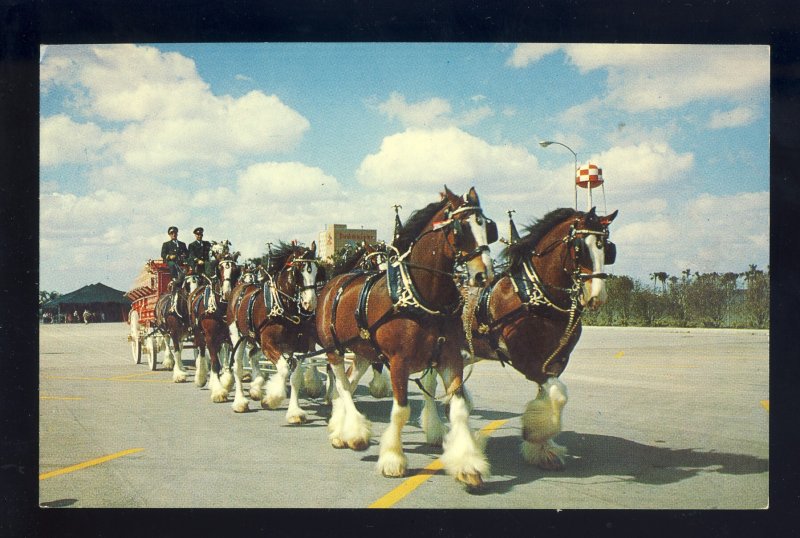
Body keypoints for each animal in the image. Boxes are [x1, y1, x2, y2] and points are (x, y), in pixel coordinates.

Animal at [189, 251, 242, 394]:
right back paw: (201, 378)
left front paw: (226, 381)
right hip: (198, 333)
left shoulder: (230, 337)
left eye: (235, 270)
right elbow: (215, 362)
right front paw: (218, 391)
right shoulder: (210, 336)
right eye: (220, 268)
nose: (227, 293)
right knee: (202, 351)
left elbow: (229, 360)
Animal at [225, 241, 322, 420]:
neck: (283, 305)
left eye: (317, 271)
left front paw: (294, 412)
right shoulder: (268, 345)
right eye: (298, 271)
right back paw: (240, 402)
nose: (310, 302)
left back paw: (256, 388)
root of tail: (240, 287)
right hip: (237, 336)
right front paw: (272, 399)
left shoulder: (300, 347)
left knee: (252, 356)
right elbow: (284, 370)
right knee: (238, 366)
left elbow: (295, 377)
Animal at [316, 184, 496, 486]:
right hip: (333, 349)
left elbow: (459, 407)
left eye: (488, 226)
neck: (421, 296)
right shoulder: (398, 362)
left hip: (363, 352)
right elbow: (401, 411)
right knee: (342, 386)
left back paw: (340, 431)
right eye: (461, 228)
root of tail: (334, 283)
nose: (485, 275)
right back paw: (355, 433)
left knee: (349, 383)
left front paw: (468, 464)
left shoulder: (449, 358)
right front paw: (392, 460)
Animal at [422, 205, 620, 468]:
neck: (533, 295)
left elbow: (548, 395)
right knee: (429, 384)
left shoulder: (556, 361)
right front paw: (535, 433)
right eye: (580, 248)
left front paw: (542, 447)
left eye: (607, 248)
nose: (597, 296)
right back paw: (435, 431)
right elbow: (558, 394)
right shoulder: (524, 360)